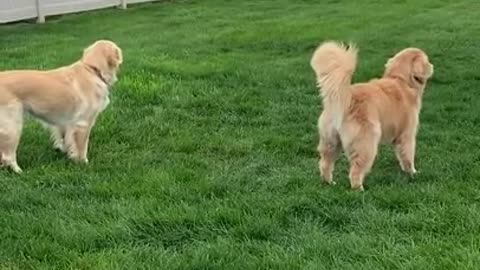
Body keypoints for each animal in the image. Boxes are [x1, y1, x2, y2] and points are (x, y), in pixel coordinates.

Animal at [0, 39, 122, 173]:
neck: (91, 69)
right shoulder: (83, 124)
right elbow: (82, 147)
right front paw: (83, 163)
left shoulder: (64, 123)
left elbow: (65, 140)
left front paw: (66, 153)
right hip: (13, 126)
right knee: (8, 156)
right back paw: (19, 171)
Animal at [312, 41, 436, 191]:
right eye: (427, 60)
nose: (432, 66)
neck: (401, 80)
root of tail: (348, 98)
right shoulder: (407, 135)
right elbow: (407, 156)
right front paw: (412, 172)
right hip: (366, 143)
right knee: (355, 171)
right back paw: (359, 189)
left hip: (331, 142)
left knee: (325, 164)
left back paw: (329, 183)